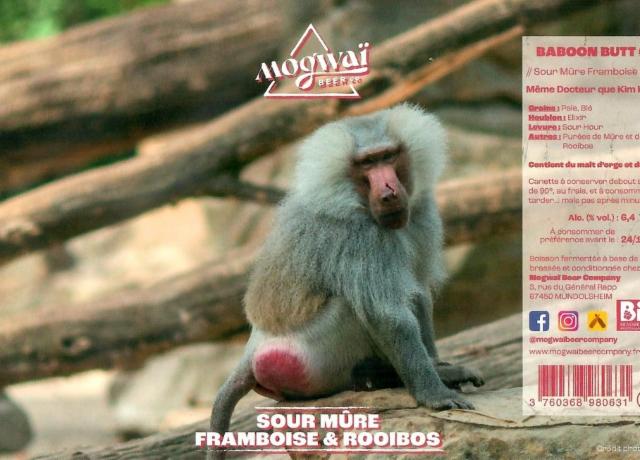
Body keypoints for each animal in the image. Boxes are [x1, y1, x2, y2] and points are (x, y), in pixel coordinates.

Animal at [207, 104, 484, 458]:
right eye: (367, 164)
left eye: (388, 157)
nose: (389, 191)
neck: (352, 197)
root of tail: (253, 345)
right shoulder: (358, 236)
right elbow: (388, 315)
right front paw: (436, 394)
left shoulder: (421, 214)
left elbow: (419, 294)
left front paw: (441, 370)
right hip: (313, 357)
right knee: (351, 305)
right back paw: (377, 377)